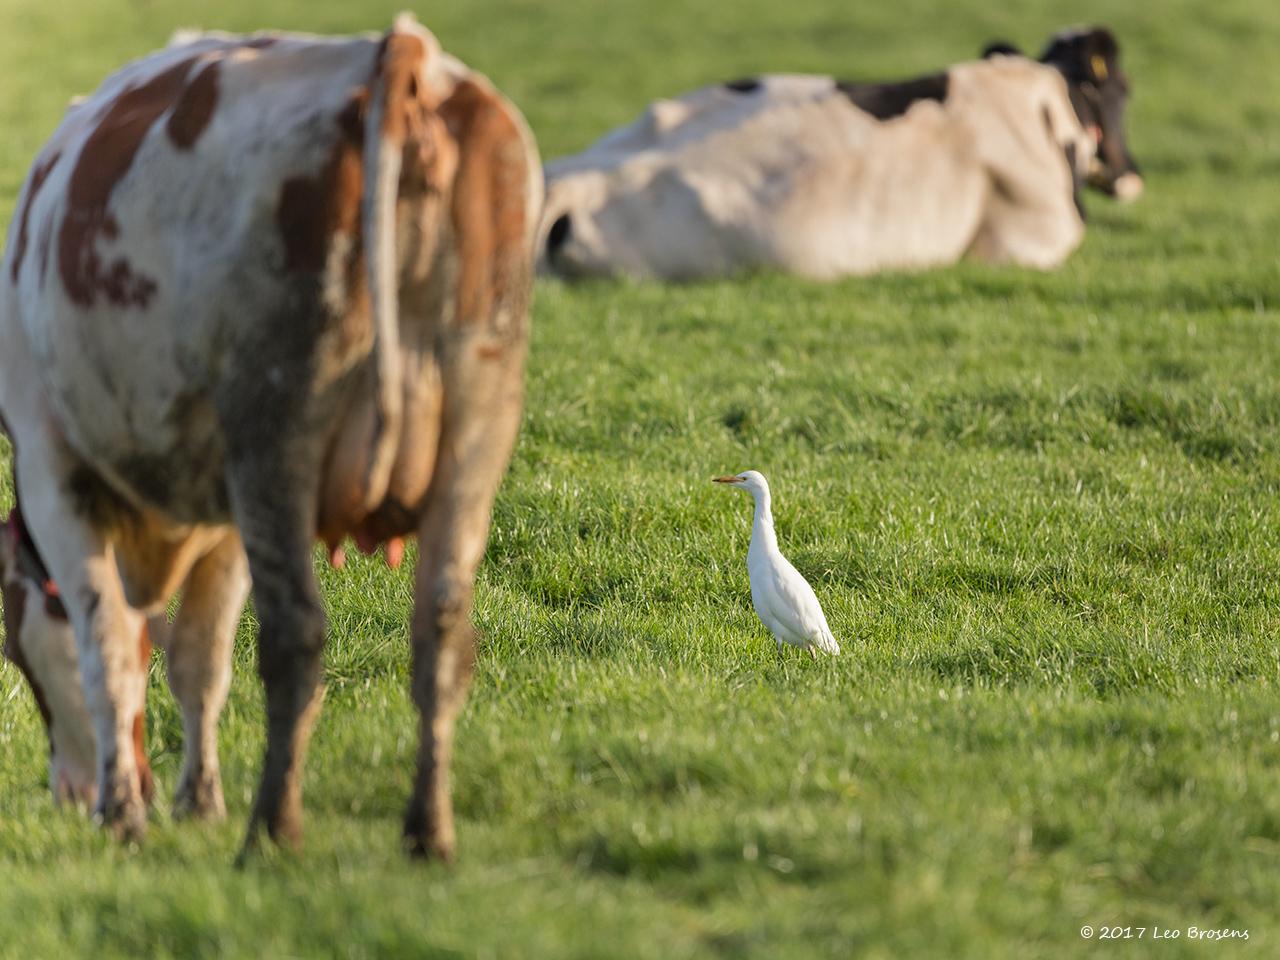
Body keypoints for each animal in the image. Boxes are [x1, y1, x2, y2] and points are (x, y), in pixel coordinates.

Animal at [0, 13, 540, 865]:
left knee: (295, 635)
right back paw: (427, 831)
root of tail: (402, 54)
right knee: (442, 631)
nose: (69, 793)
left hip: (275, 433)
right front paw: (196, 802)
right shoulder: (222, 515)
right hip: (475, 428)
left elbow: (109, 651)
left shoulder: (59, 472)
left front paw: (125, 815)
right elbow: (198, 660)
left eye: (15, 652)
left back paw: (271, 829)